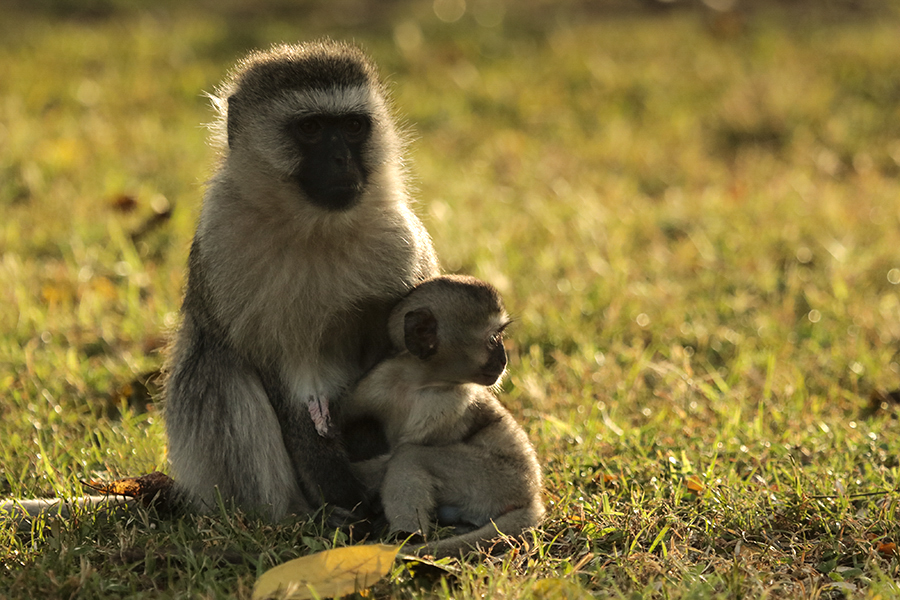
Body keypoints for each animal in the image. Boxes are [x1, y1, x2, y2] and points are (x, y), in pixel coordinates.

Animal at [164, 39, 440, 524]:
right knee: (217, 364)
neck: (313, 229)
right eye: (311, 128)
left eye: (352, 127)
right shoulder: (221, 244)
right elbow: (276, 374)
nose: (341, 160)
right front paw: (338, 487)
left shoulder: (403, 246)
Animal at [342, 276, 540, 556]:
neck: (418, 382)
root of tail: (533, 494)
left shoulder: (448, 401)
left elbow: (398, 452)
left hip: (502, 480)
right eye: (493, 339)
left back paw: (406, 538)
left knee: (409, 455)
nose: (503, 360)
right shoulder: (379, 379)